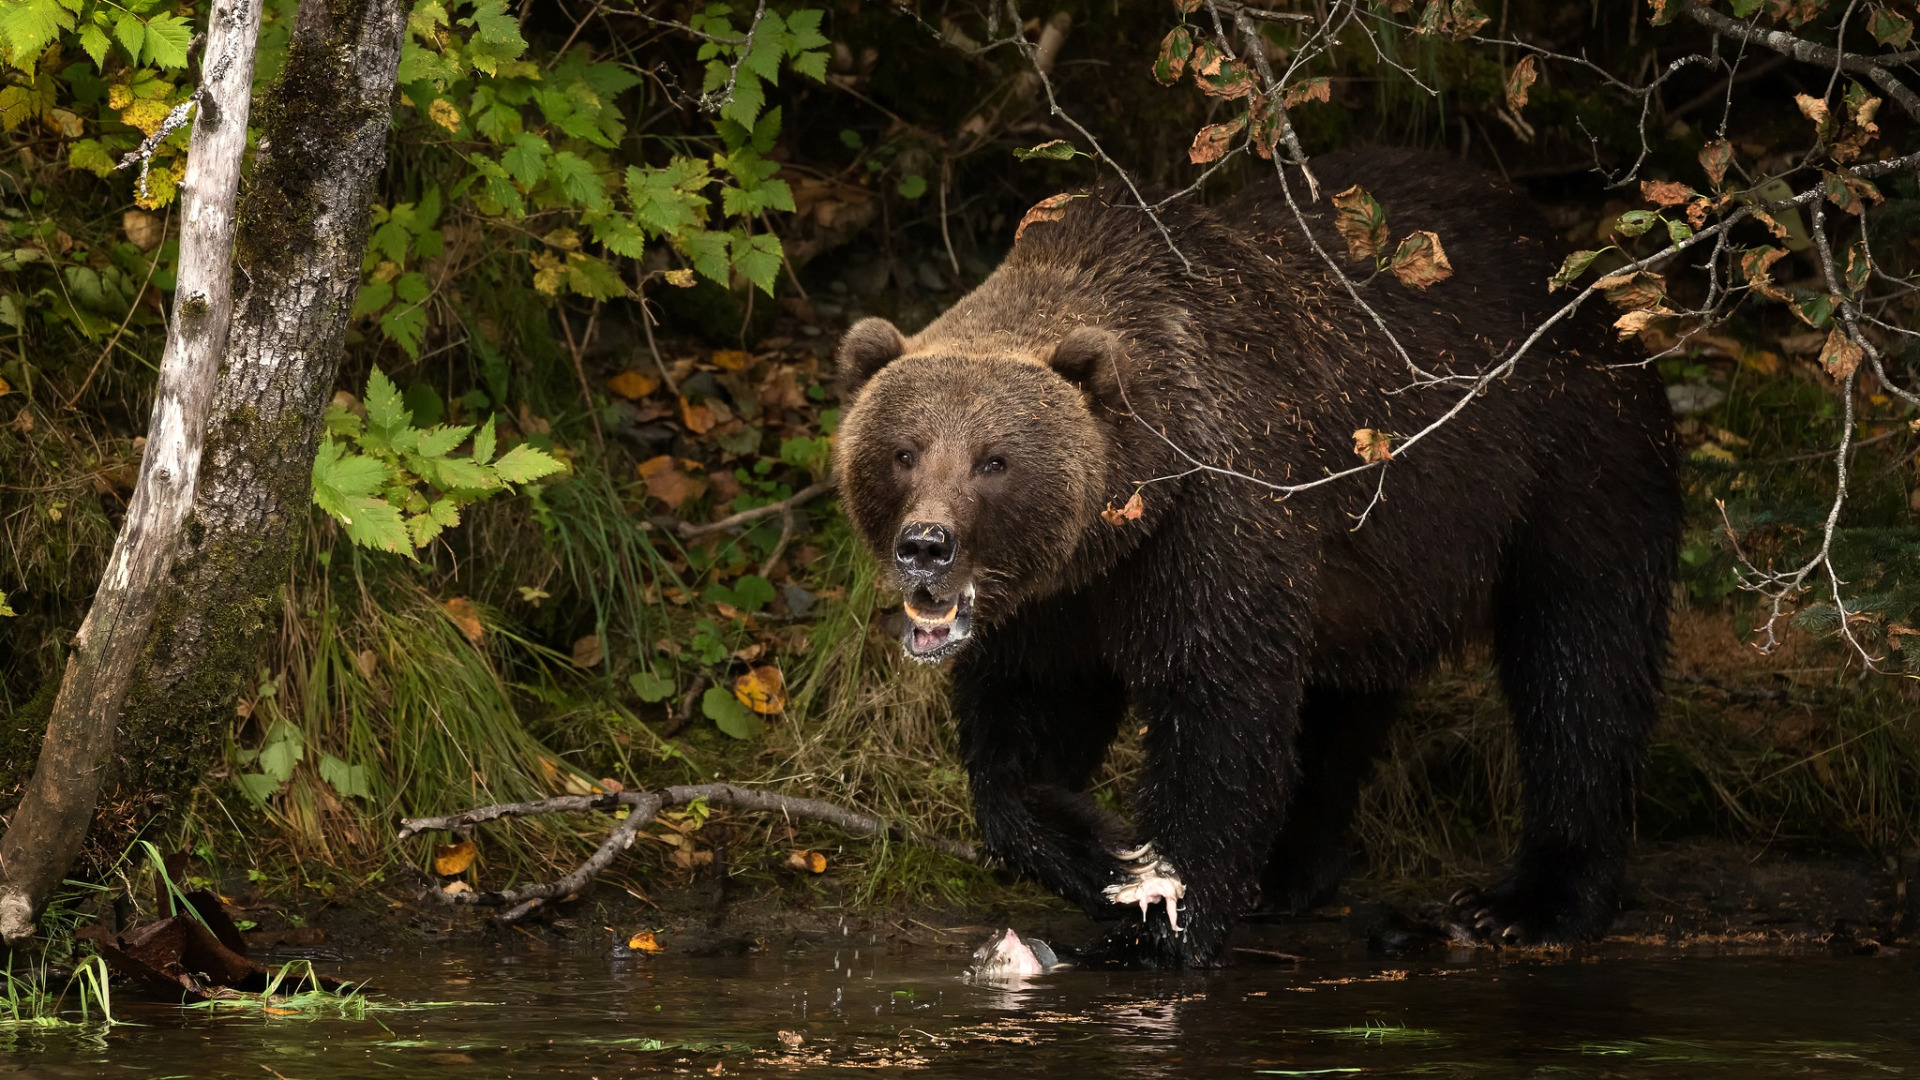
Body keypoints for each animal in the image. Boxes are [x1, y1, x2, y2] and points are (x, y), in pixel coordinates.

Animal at [833, 145, 1674, 968]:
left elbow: (1218, 713)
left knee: (1581, 658)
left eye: (994, 461)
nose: (927, 545)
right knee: (1342, 705)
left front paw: (1162, 919)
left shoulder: (1212, 524)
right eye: (903, 451)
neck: (1116, 525)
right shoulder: (1050, 605)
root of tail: (1567, 263)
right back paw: (1288, 872)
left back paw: (1531, 899)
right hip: (1376, 576)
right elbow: (1022, 741)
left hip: (1568, 463)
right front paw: (1114, 854)